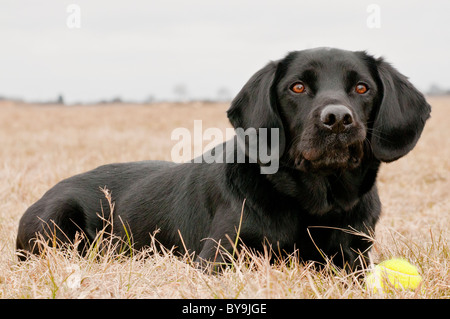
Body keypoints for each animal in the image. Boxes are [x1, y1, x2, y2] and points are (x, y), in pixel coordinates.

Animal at [17, 48, 430, 272]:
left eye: (362, 88)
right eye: (297, 87)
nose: (338, 119)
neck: (313, 204)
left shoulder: (354, 259)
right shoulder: (219, 258)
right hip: (55, 217)